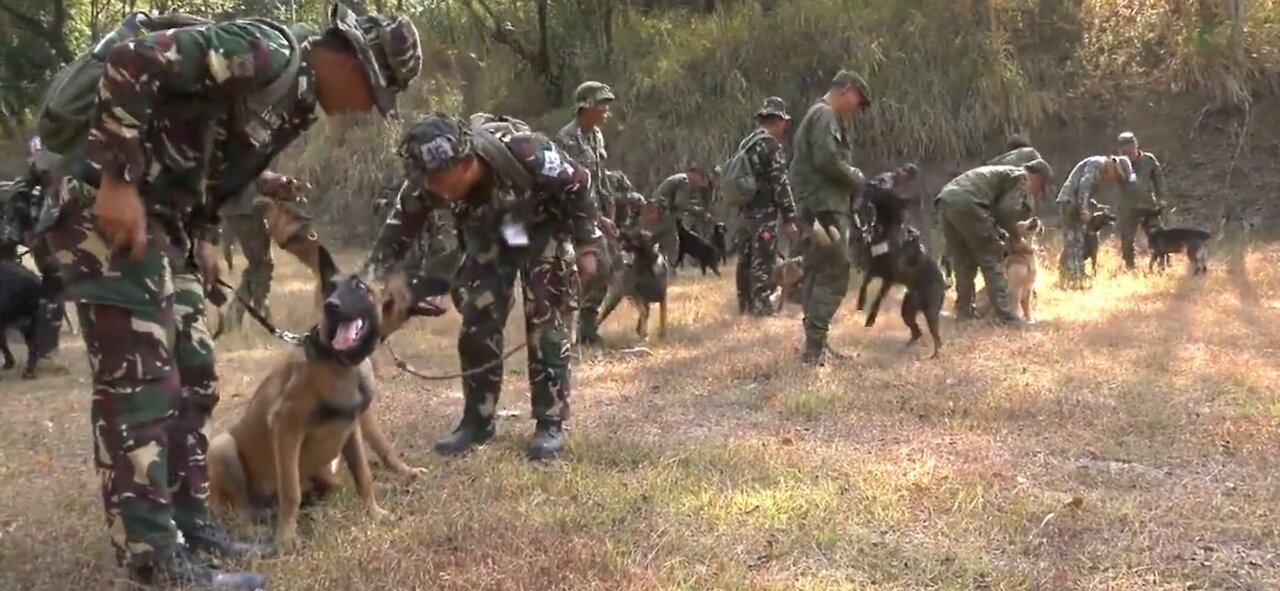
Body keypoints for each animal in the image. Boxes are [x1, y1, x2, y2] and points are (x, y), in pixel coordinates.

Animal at [206, 244, 450, 550]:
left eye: (360, 287)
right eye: (330, 287)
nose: (330, 306)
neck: (342, 363)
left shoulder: (352, 427)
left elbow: (364, 475)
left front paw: (375, 512)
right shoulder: (287, 428)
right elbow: (290, 491)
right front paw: (286, 537)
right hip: (222, 447)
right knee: (241, 507)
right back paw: (250, 531)